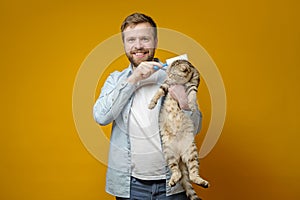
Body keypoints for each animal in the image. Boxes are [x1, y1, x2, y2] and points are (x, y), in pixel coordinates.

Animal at [149, 59, 210, 200]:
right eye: (168, 75)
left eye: (173, 74)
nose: (168, 77)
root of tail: (180, 155)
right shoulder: (166, 85)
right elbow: (159, 91)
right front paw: (152, 103)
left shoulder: (194, 84)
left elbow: (192, 94)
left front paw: (192, 105)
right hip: (169, 153)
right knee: (178, 172)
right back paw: (173, 179)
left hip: (192, 153)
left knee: (192, 174)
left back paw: (202, 182)